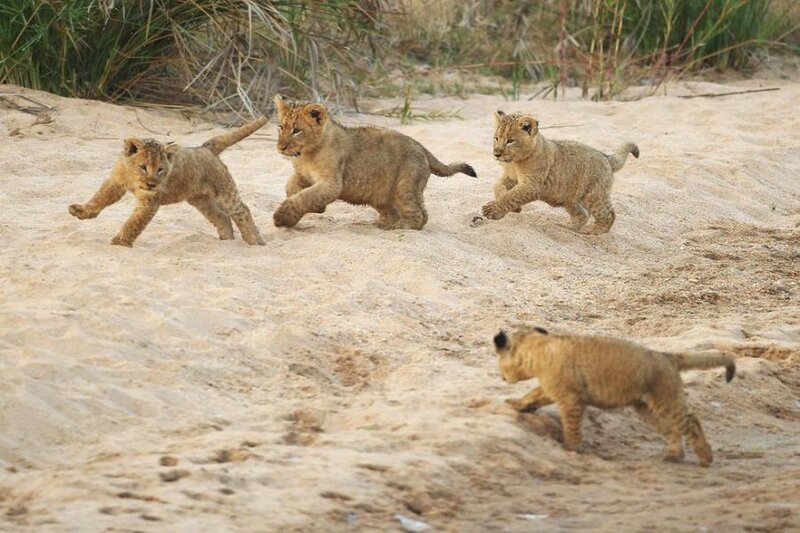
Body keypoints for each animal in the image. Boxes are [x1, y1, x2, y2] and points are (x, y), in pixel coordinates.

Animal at [69, 118, 267, 247]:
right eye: (143, 167)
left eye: (160, 169)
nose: (151, 184)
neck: (133, 178)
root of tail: (206, 148)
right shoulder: (116, 183)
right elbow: (99, 198)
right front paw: (81, 211)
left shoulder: (150, 201)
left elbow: (133, 222)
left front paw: (120, 242)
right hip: (199, 199)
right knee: (221, 216)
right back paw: (226, 240)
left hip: (223, 191)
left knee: (242, 210)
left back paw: (255, 241)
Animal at [271, 95, 477, 230]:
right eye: (281, 127)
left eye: (296, 130)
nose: (281, 147)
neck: (307, 154)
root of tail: (421, 147)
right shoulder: (303, 174)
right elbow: (291, 186)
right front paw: (317, 207)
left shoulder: (332, 183)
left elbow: (306, 196)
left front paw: (282, 217)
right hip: (380, 194)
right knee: (394, 212)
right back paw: (378, 224)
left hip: (405, 187)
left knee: (420, 215)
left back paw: (399, 227)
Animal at [481, 111, 639, 234]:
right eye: (496, 138)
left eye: (510, 141)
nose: (496, 154)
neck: (515, 163)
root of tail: (606, 157)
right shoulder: (510, 177)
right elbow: (498, 187)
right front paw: (516, 209)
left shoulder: (532, 185)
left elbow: (511, 196)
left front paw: (491, 210)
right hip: (569, 198)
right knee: (582, 214)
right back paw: (565, 227)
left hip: (594, 194)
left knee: (608, 214)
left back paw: (593, 233)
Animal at [493, 327, 736, 466]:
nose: (501, 377)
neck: (538, 349)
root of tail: (667, 356)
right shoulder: (554, 388)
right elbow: (532, 394)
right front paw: (516, 404)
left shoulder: (571, 398)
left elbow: (571, 425)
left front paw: (570, 448)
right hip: (647, 406)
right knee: (671, 428)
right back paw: (673, 456)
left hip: (666, 399)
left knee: (691, 421)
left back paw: (705, 459)